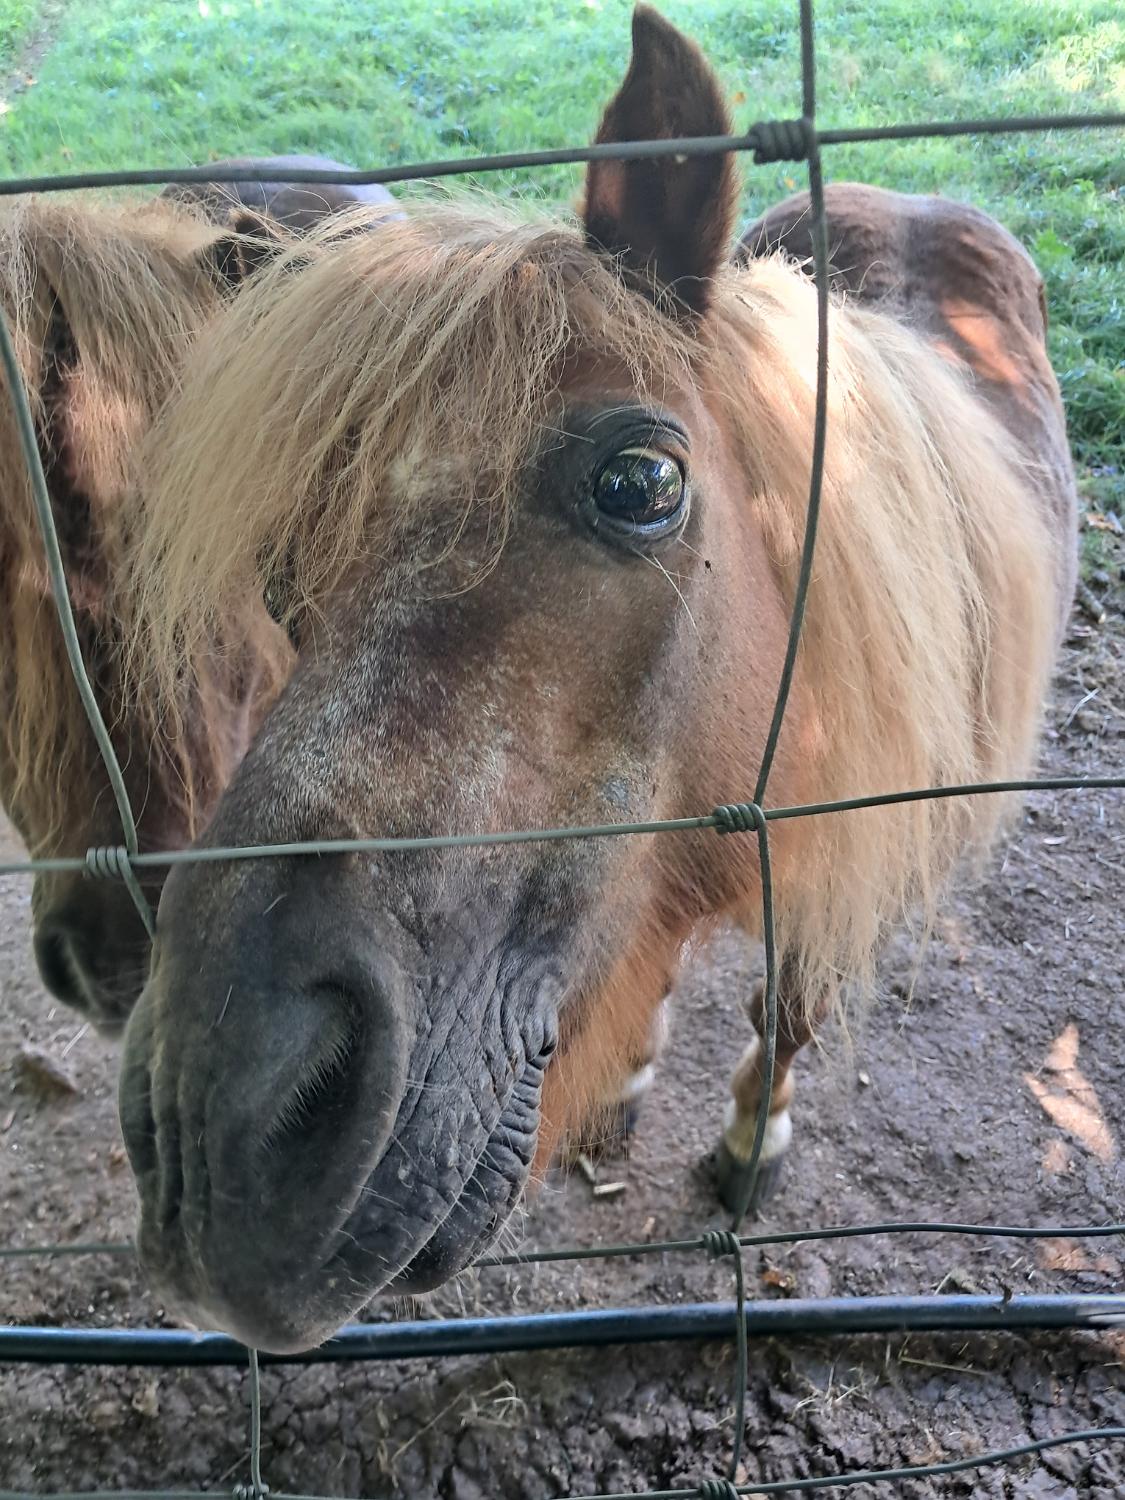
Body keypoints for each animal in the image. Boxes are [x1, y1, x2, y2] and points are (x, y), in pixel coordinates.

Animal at [117, 4, 1075, 1353]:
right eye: (277, 561)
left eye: (640, 481)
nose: (218, 1118)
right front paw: (628, 1077)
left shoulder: (844, 861)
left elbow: (786, 1009)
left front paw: (750, 1143)